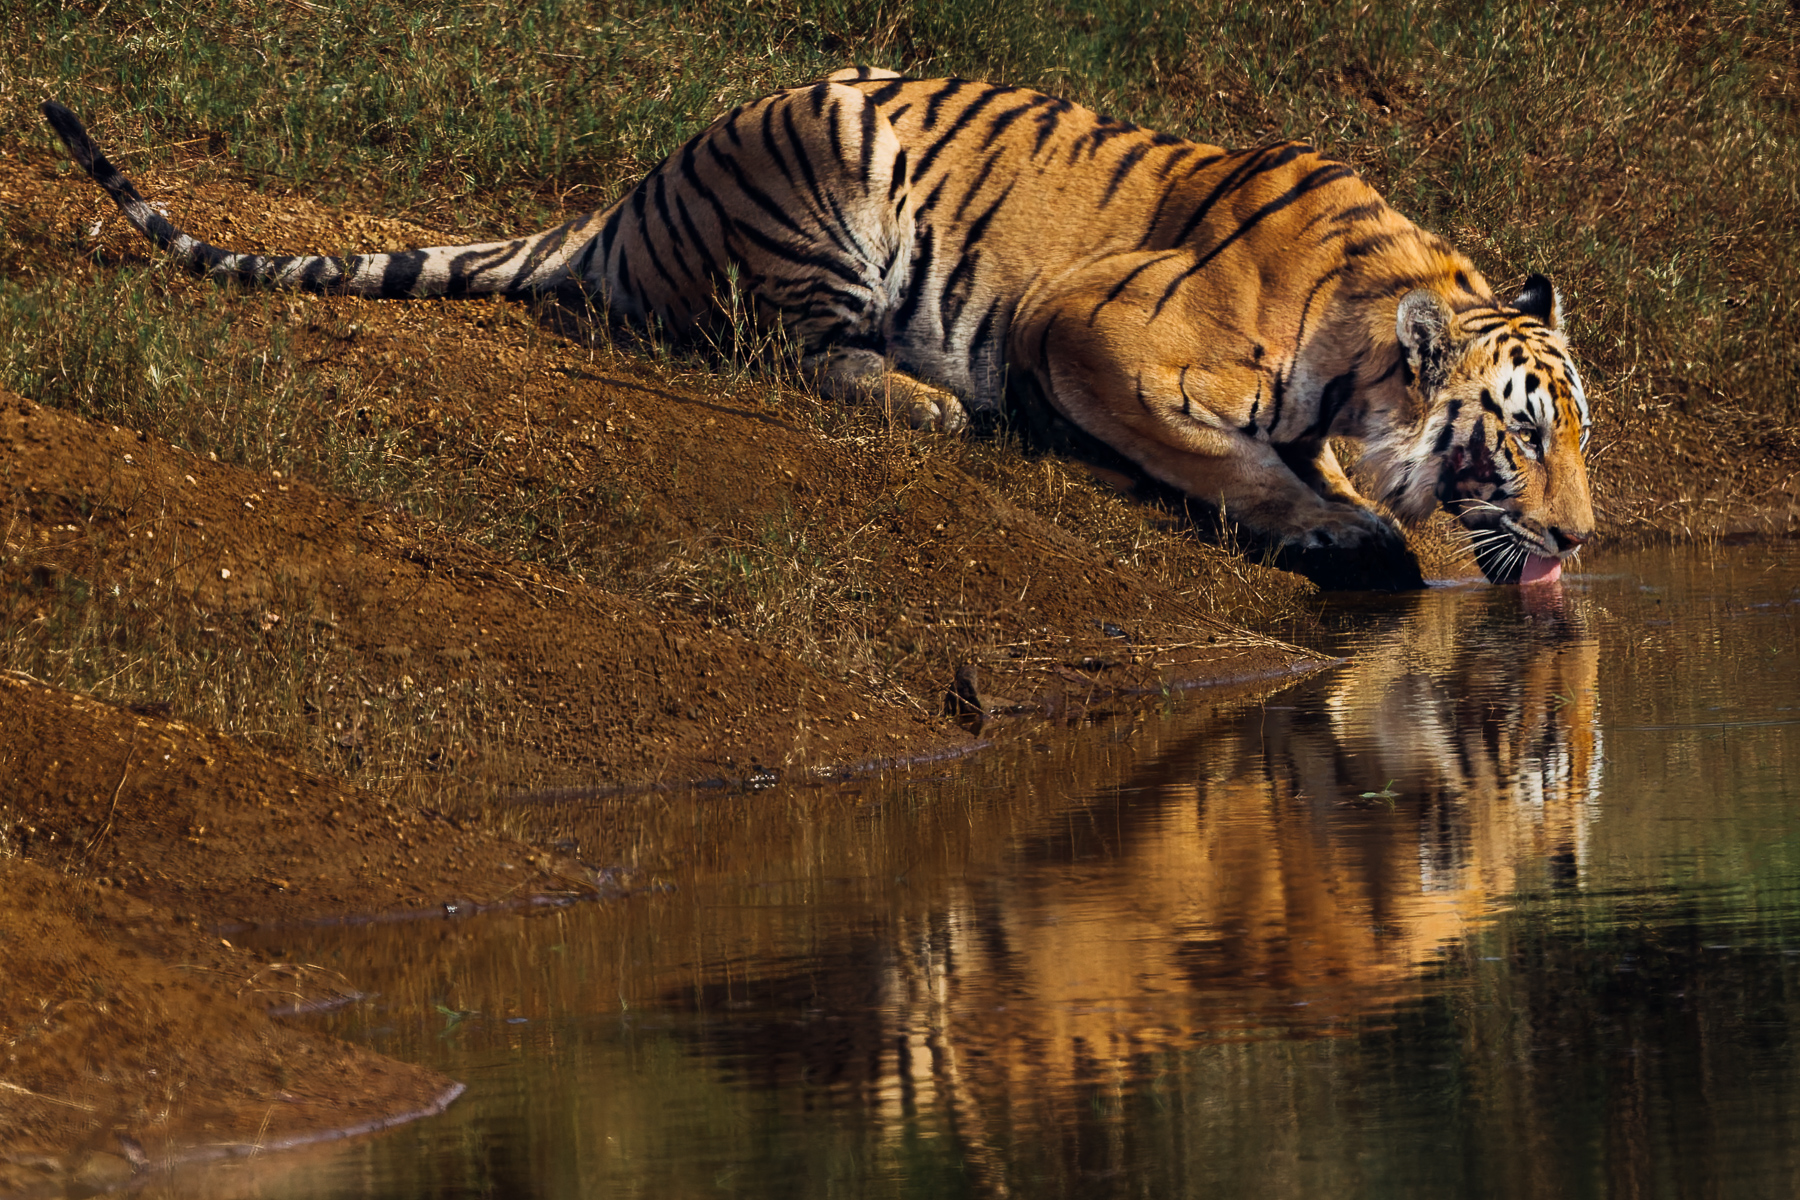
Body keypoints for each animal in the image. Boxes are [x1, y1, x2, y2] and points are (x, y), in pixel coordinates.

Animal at [42, 66, 1594, 589]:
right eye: (1520, 442)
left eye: (1580, 435)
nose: (1586, 540)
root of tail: (634, 193)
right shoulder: (1088, 326)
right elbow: (1227, 459)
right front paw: (1343, 534)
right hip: (832, 183)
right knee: (769, 350)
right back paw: (927, 400)